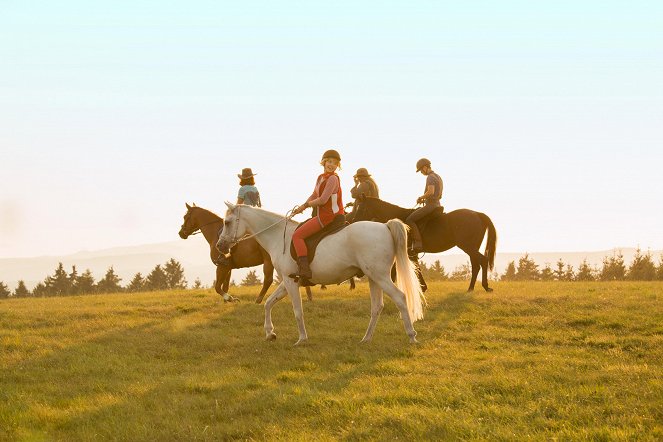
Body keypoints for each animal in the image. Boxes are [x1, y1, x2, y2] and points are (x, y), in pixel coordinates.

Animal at [176, 204, 312, 304]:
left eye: (185, 216)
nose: (181, 233)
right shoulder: (228, 267)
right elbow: (225, 286)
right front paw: (227, 301)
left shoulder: (222, 266)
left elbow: (218, 287)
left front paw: (229, 298)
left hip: (268, 262)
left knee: (268, 280)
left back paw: (258, 300)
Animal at [215, 204, 428, 346]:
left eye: (227, 222)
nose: (220, 246)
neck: (277, 236)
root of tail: (384, 226)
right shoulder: (287, 281)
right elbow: (268, 303)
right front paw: (270, 333)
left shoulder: (290, 282)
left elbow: (297, 310)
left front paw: (301, 339)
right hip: (373, 277)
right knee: (377, 307)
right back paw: (366, 339)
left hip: (381, 276)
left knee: (400, 298)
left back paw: (412, 336)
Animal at [352, 194, 498, 292]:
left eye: (361, 209)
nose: (352, 221)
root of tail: (477, 214)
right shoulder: (411, 253)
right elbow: (417, 268)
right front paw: (423, 287)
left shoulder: (408, 252)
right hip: (472, 248)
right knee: (476, 265)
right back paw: (471, 288)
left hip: (469, 247)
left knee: (483, 261)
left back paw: (485, 286)